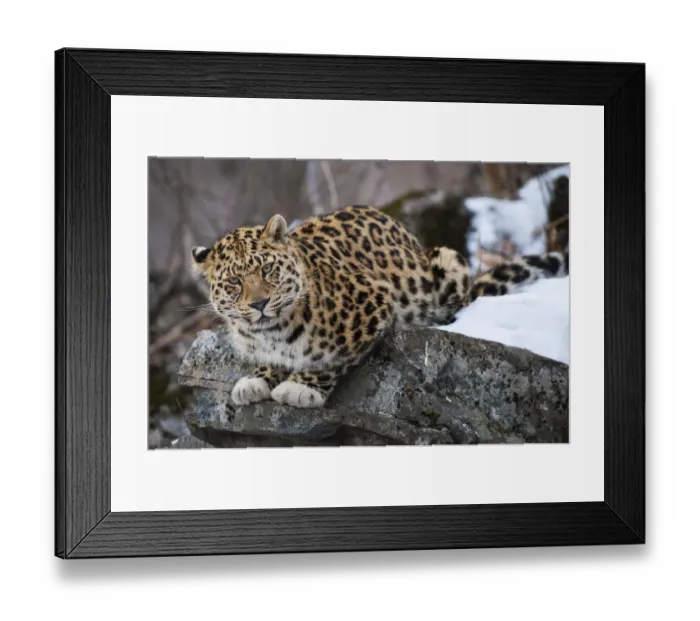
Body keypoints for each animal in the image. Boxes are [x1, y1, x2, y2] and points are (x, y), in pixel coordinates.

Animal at [191, 205, 568, 409]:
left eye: (268, 270)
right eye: (234, 283)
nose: (259, 304)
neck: (271, 334)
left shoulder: (374, 305)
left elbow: (331, 359)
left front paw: (301, 387)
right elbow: (270, 361)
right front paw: (257, 380)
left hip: (448, 263)